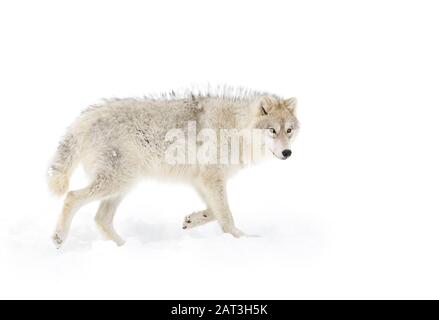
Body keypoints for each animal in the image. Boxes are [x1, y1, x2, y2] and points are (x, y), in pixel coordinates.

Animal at [47, 87, 300, 248]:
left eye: (289, 130)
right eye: (272, 130)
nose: (287, 153)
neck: (236, 128)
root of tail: (83, 120)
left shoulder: (202, 180)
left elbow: (213, 211)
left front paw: (192, 220)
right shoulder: (211, 178)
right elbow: (226, 216)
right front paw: (241, 239)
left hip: (123, 186)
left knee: (101, 219)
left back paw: (125, 247)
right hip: (118, 182)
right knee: (71, 196)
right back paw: (59, 237)